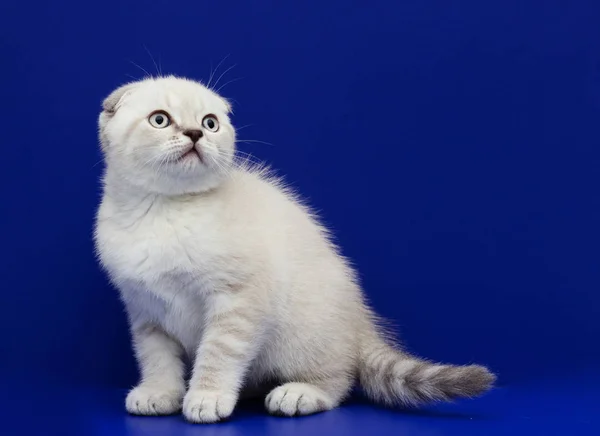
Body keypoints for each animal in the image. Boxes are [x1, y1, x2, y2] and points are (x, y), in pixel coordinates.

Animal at [95, 75, 496, 422]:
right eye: (160, 120)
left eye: (210, 123)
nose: (195, 134)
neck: (162, 210)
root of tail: (361, 322)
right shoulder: (144, 311)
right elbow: (156, 358)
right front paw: (159, 393)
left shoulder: (238, 300)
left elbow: (218, 354)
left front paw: (206, 397)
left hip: (302, 335)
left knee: (339, 379)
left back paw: (298, 394)